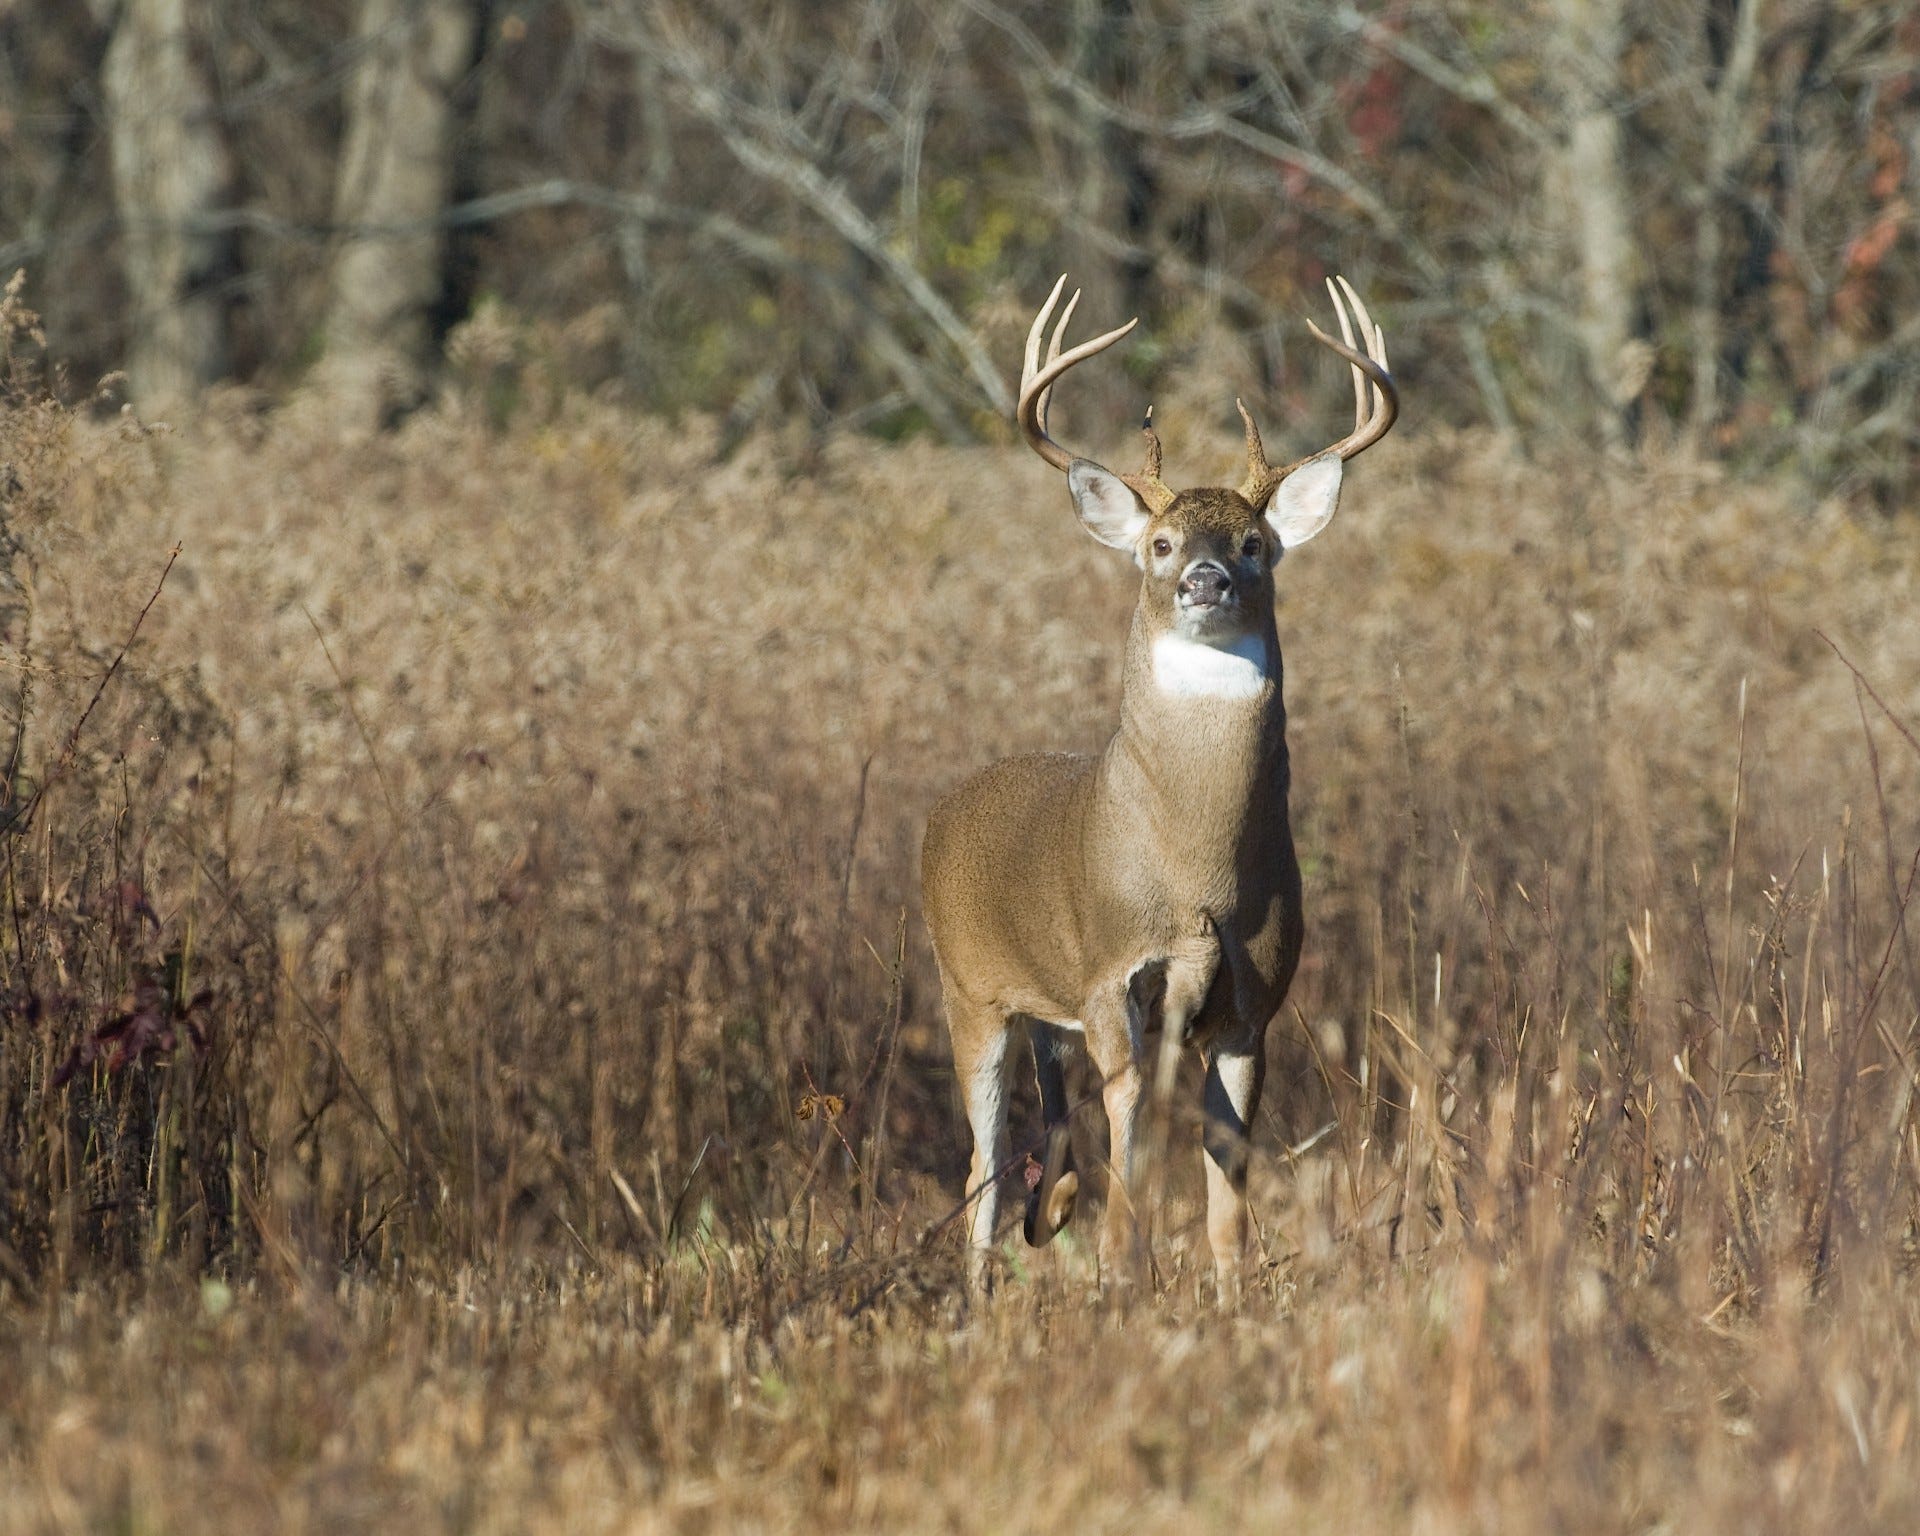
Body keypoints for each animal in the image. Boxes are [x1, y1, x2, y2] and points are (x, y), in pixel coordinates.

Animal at [921, 274, 1397, 1290]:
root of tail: (944, 809)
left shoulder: (1254, 1000)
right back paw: (980, 1289)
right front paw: (1119, 1272)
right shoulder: (1112, 974)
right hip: (968, 989)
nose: (1207, 580)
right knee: (982, 1157)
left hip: (1040, 1012)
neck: (1197, 871)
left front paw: (1225, 1290)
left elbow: (1228, 1179)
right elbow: (1131, 1141)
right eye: (1163, 544)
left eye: (1256, 542)